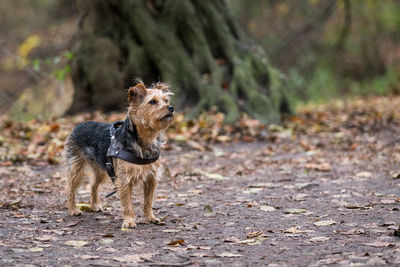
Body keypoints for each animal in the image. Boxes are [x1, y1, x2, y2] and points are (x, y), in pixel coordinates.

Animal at [63, 80, 173, 229]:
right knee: (70, 187)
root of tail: (78, 124)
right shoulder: (124, 179)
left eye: (166, 100)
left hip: (102, 168)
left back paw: (95, 205)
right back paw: (73, 209)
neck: (144, 140)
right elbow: (127, 203)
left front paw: (150, 217)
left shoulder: (151, 178)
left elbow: (148, 201)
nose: (171, 108)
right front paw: (129, 221)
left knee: (93, 185)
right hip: (76, 167)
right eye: (152, 102)